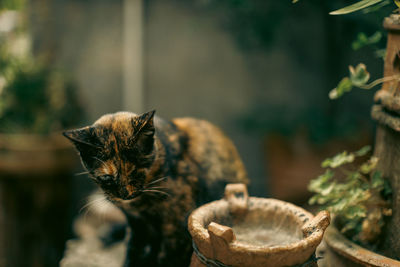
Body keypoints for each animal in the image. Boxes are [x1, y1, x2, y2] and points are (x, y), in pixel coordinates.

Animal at [63, 110, 248, 267]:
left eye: (136, 171)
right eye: (107, 177)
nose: (126, 194)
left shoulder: (178, 226)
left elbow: (168, 259)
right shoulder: (137, 224)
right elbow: (133, 251)